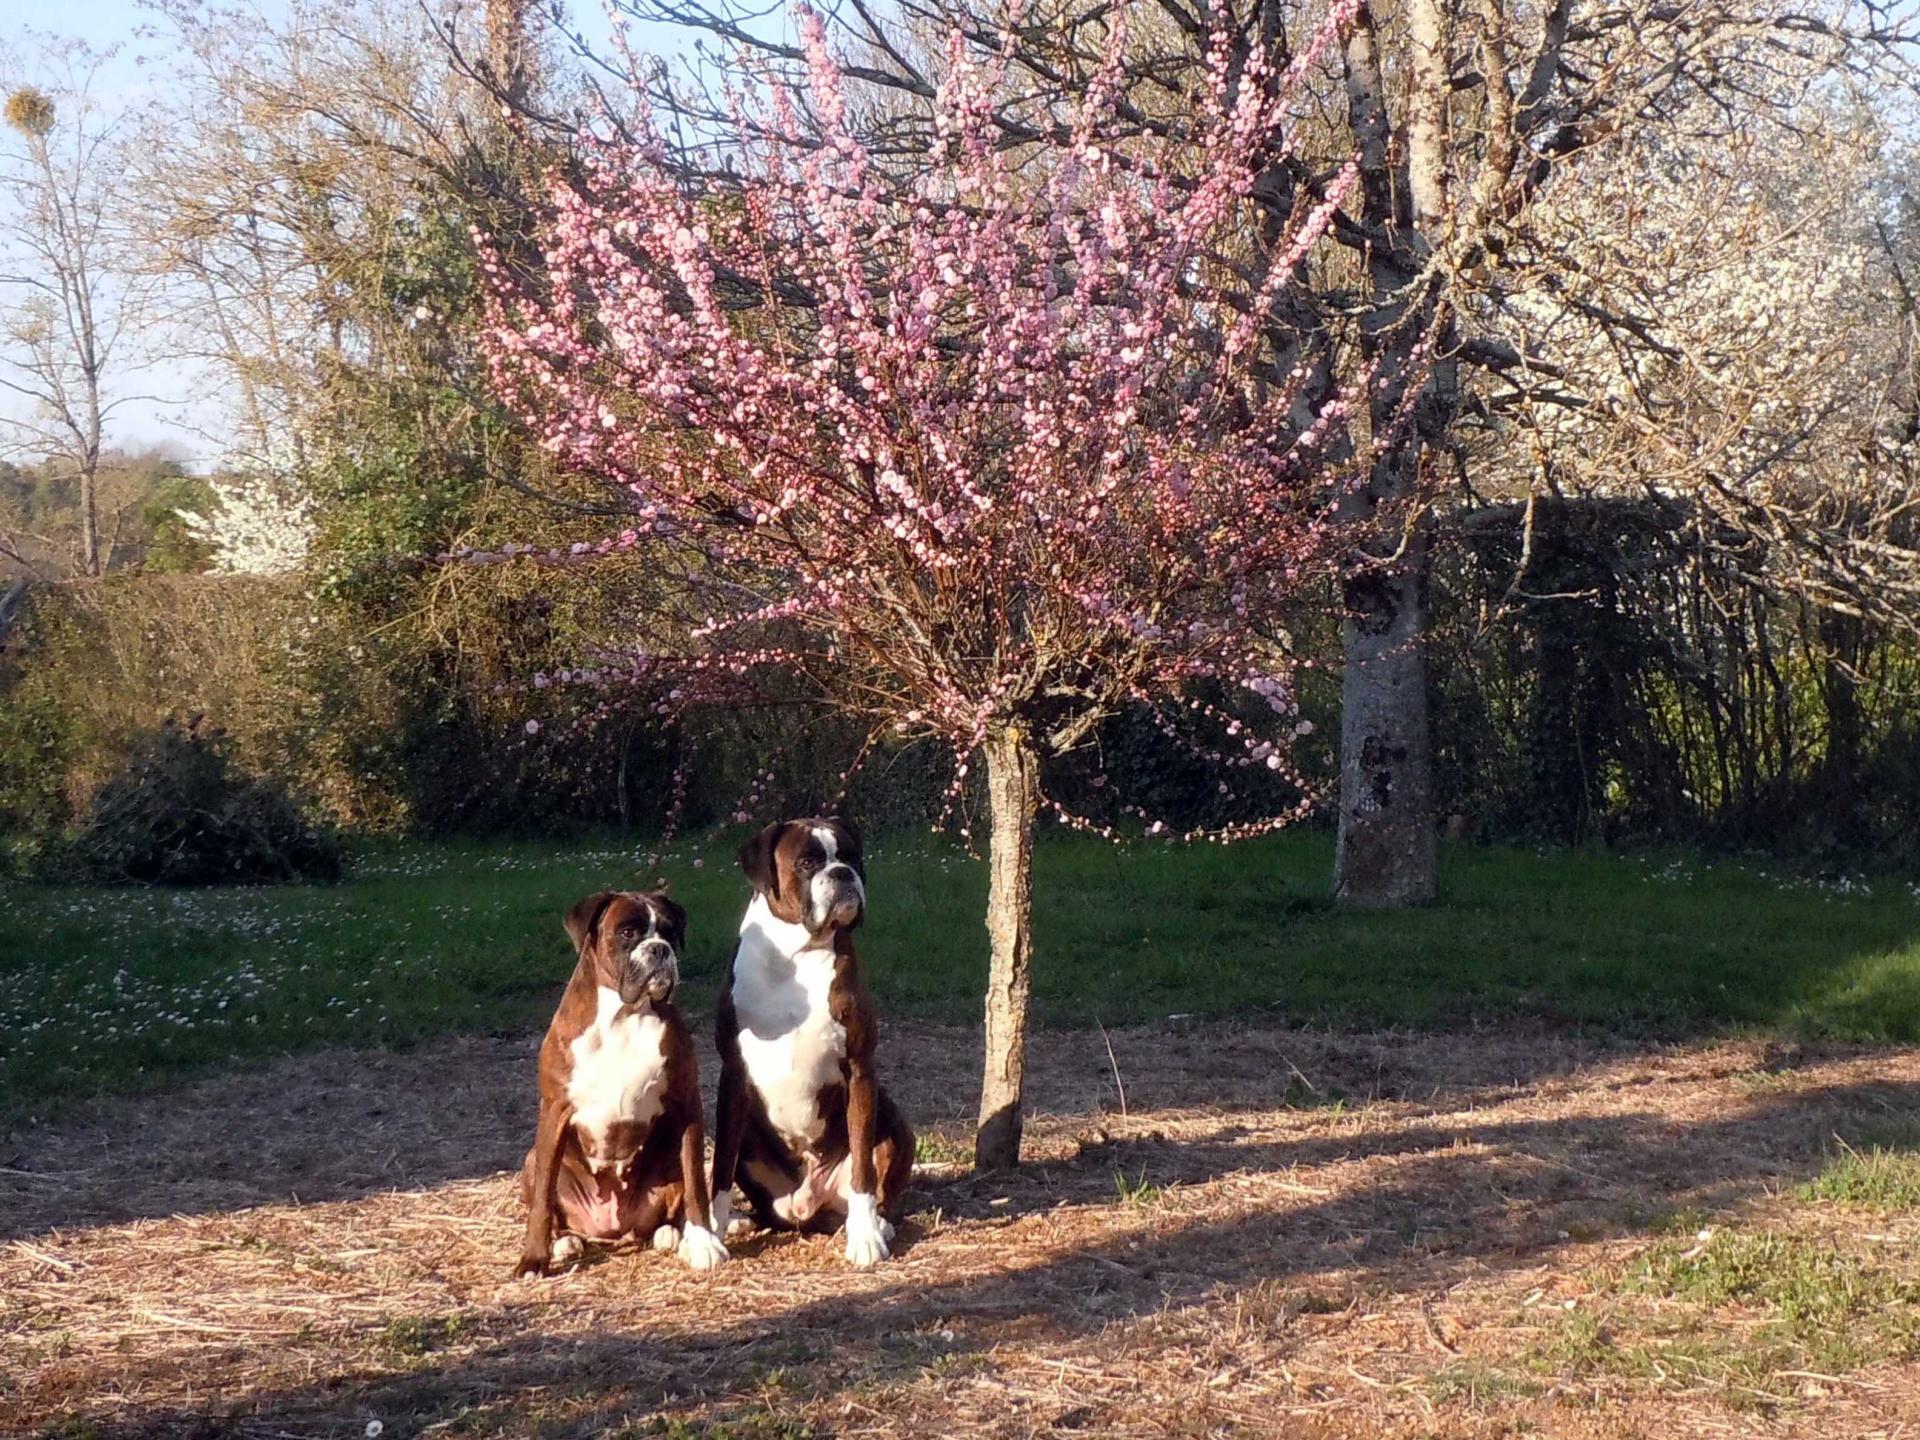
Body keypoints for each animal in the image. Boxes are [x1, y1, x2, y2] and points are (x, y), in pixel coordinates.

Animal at [514, 898, 729, 1282]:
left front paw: (703, 1244)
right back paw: (564, 1241)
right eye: (627, 932)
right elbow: (542, 1200)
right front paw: (534, 1259)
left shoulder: (687, 1107)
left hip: (669, 1158)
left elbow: (696, 1185)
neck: (624, 1016)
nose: (659, 949)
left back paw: (671, 1233)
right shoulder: (555, 1111)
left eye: (670, 932)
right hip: (531, 1159)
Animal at [714, 817, 913, 1267]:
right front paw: (708, 1233)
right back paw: (741, 1221)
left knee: (876, 1191)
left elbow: (863, 1173)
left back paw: (877, 1225)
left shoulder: (860, 1070)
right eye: (807, 862)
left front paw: (865, 1238)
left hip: (896, 1123)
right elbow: (718, 1170)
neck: (795, 956)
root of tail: (807, 1204)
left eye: (852, 856)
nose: (842, 874)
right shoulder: (732, 1076)